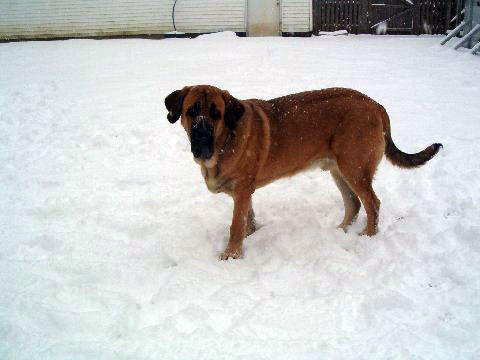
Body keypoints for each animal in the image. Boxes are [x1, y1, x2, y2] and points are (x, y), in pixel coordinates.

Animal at [166, 84, 442, 258]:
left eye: (217, 114)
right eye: (191, 111)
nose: (201, 138)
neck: (224, 141)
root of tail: (376, 105)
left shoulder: (243, 189)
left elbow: (235, 224)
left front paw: (232, 254)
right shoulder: (244, 192)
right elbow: (248, 218)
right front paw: (250, 235)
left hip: (354, 167)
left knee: (372, 203)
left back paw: (367, 236)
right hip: (339, 170)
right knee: (354, 203)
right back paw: (341, 231)